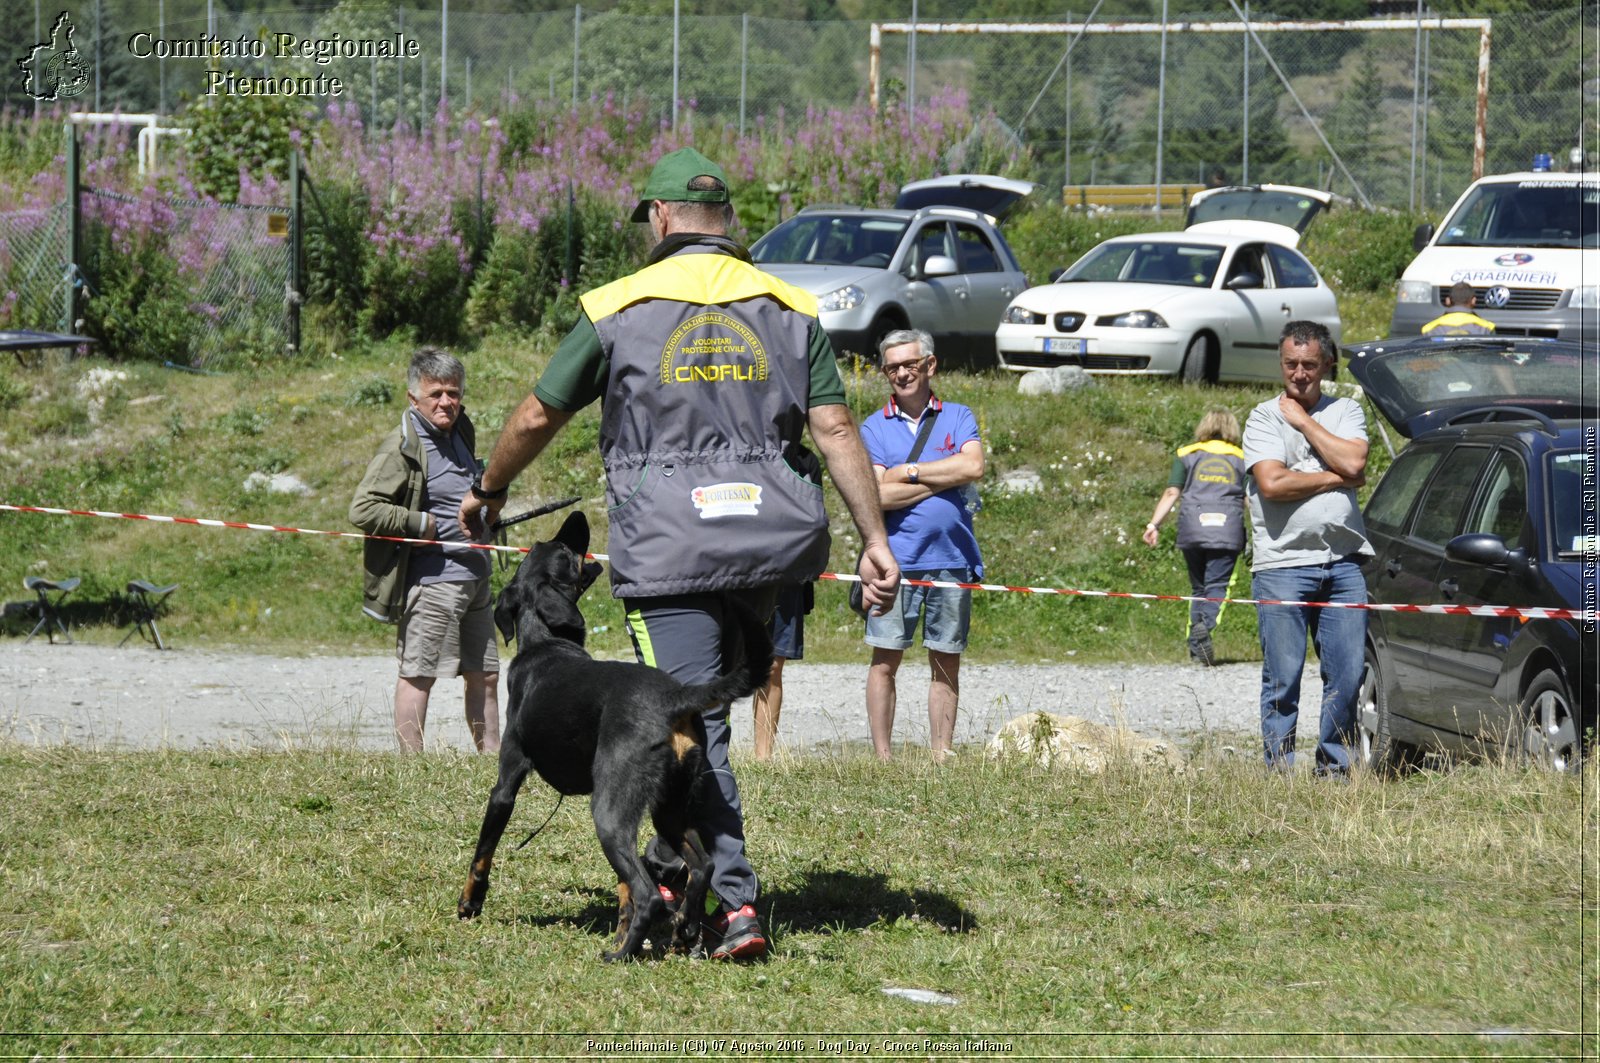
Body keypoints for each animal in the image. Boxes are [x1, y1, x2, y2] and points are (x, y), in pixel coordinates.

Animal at [457, 509, 774, 960]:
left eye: (559, 549)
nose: (574, 520)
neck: (545, 644)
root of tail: (674, 697)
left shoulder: (506, 782)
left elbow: (483, 851)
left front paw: (470, 902)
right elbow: (625, 891)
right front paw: (624, 927)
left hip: (609, 812)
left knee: (651, 894)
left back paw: (622, 954)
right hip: (669, 809)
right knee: (701, 867)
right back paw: (683, 930)